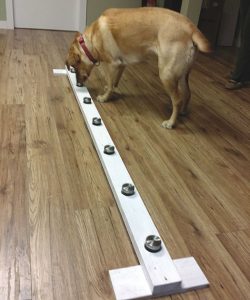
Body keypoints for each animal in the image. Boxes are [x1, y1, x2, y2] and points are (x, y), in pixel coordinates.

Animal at [66, 7, 211, 127]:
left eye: (73, 67)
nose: (78, 84)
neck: (89, 42)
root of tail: (191, 27)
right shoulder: (121, 64)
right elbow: (114, 82)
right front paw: (111, 90)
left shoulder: (112, 64)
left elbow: (110, 81)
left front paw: (105, 97)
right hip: (181, 75)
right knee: (187, 93)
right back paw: (183, 112)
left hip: (166, 74)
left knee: (177, 100)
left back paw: (171, 122)